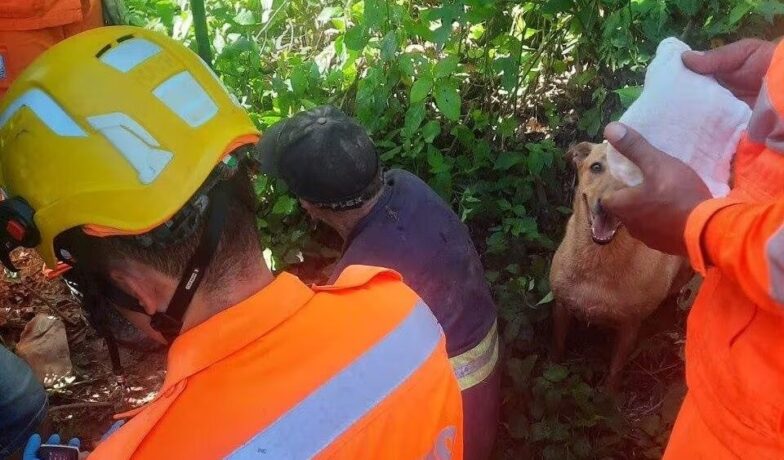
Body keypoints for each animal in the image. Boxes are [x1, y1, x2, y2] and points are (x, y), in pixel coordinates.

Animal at [548, 142, 688, 390]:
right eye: (596, 167)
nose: (608, 205)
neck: (599, 261)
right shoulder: (561, 306)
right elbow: (557, 345)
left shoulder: (629, 327)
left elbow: (615, 370)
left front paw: (608, 397)